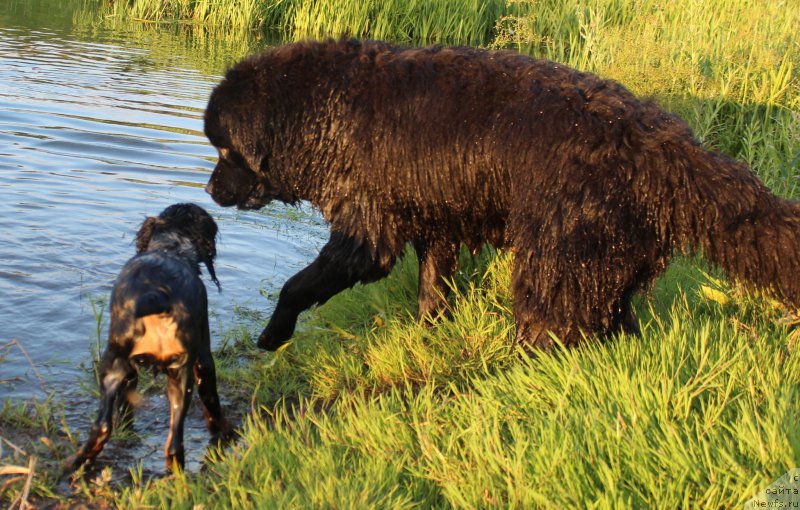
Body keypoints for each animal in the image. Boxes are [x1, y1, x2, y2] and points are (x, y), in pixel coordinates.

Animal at [67, 203, 230, 474]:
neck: (170, 248)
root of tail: (157, 293)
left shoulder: (130, 369)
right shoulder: (204, 358)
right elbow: (212, 404)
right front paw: (225, 433)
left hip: (115, 365)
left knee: (102, 426)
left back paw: (75, 464)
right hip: (181, 371)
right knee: (174, 442)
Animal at [203, 38, 800, 350]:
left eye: (225, 149)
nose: (208, 189)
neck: (324, 108)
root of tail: (665, 147)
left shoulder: (367, 228)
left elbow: (299, 284)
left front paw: (272, 334)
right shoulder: (433, 218)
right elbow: (433, 284)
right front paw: (429, 331)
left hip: (557, 254)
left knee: (550, 324)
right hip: (608, 258)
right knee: (612, 319)